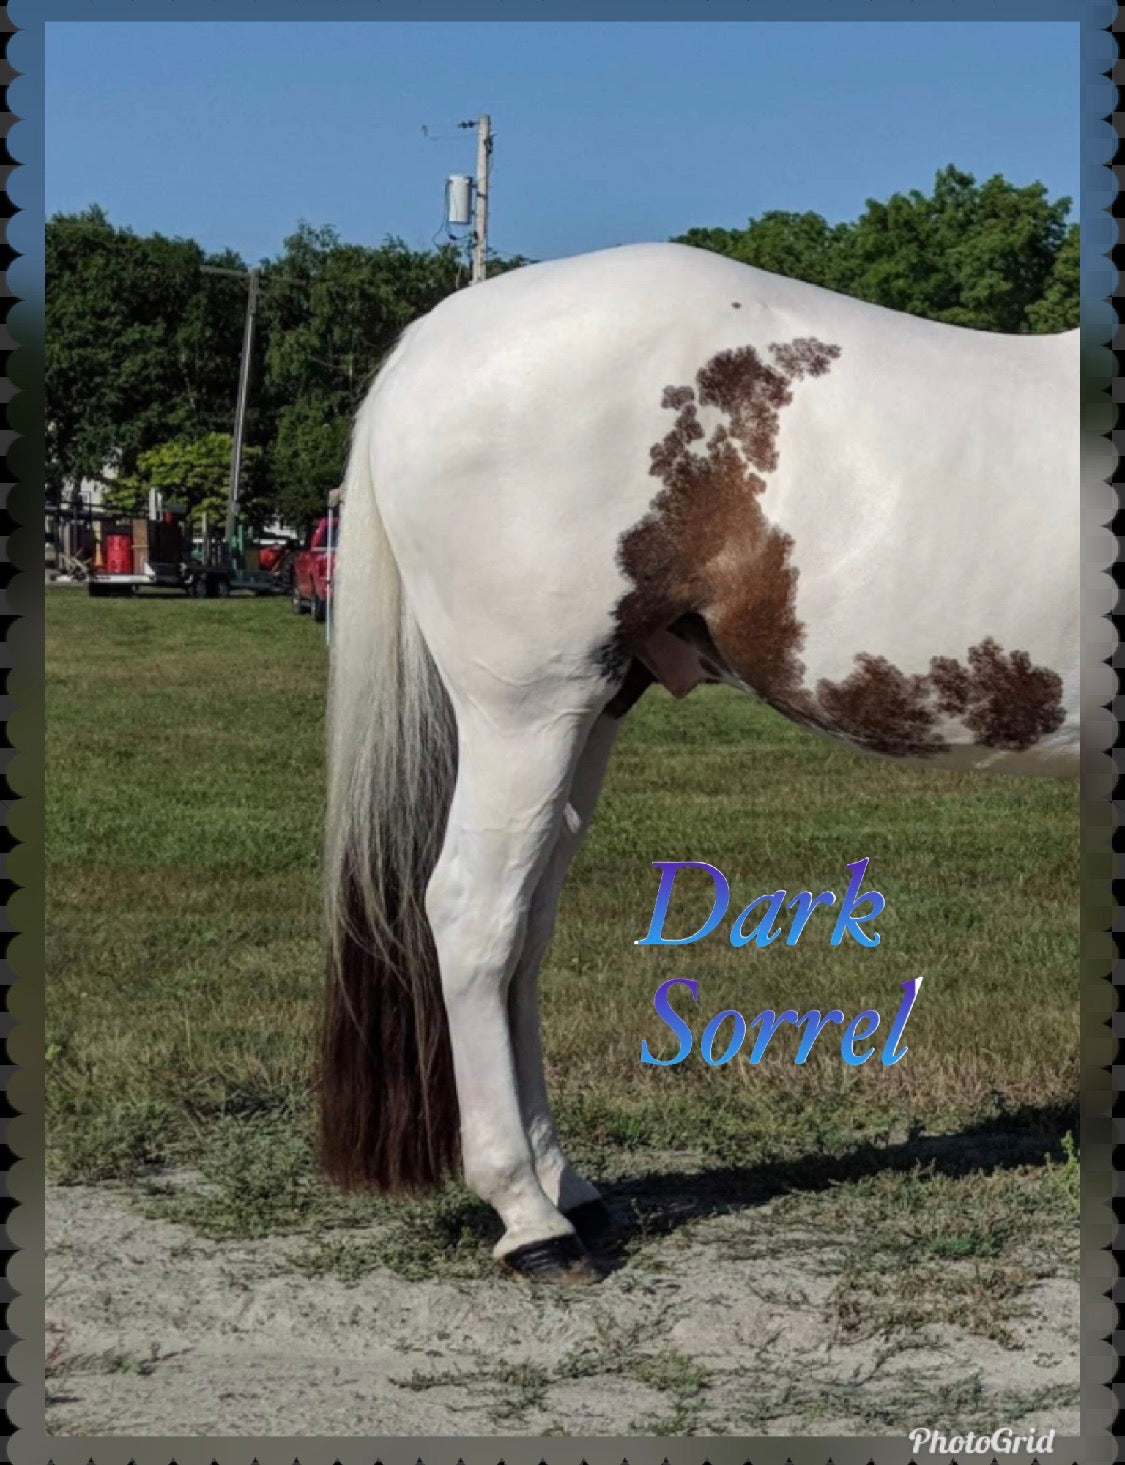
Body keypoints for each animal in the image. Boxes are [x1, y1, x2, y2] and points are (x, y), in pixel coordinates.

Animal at [316, 242, 1079, 1283]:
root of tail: (433, 336)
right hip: (524, 709)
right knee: (473, 916)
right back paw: (531, 1220)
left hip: (588, 710)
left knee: (525, 929)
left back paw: (570, 1189)